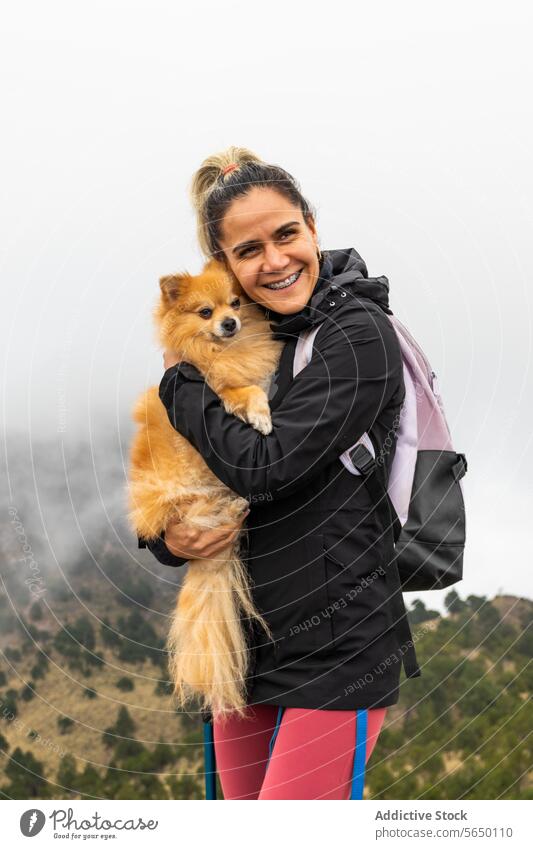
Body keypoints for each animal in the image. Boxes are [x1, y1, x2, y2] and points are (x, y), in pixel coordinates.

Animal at [128, 258, 282, 716]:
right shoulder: (218, 386)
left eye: (235, 304)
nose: (230, 323)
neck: (226, 350)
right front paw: (260, 415)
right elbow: (244, 390)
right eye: (205, 313)